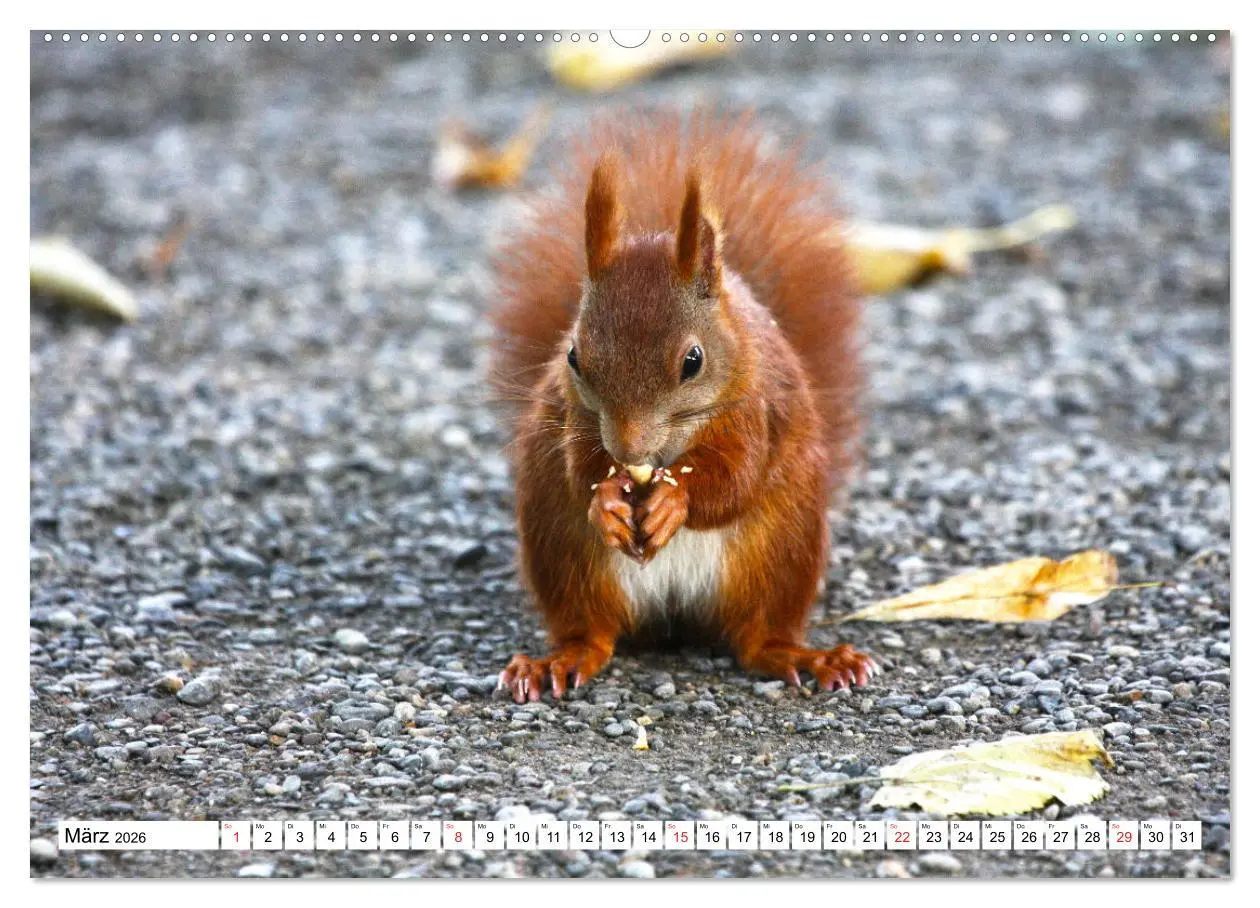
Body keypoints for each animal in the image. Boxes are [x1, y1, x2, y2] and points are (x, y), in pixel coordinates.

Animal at [489, 110, 876, 703]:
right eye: (573, 355)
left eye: (692, 361)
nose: (628, 450)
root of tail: (674, 617)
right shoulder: (574, 417)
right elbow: (579, 472)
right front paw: (606, 497)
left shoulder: (754, 411)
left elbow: (735, 478)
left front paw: (676, 499)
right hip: (564, 552)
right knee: (592, 632)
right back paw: (557, 660)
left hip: (781, 552)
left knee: (757, 639)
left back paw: (807, 657)